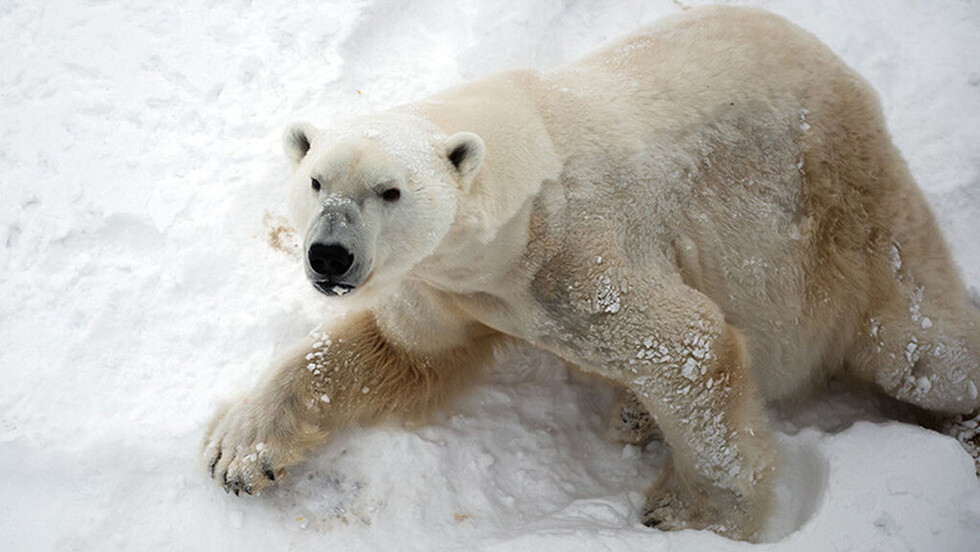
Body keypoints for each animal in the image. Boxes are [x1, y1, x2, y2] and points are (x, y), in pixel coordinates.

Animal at [201, 5, 980, 540]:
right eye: (315, 181)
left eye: (389, 191)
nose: (329, 255)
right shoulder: (446, 287)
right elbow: (400, 352)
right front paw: (239, 453)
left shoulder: (581, 258)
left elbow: (691, 347)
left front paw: (690, 513)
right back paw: (633, 411)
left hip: (849, 221)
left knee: (919, 348)